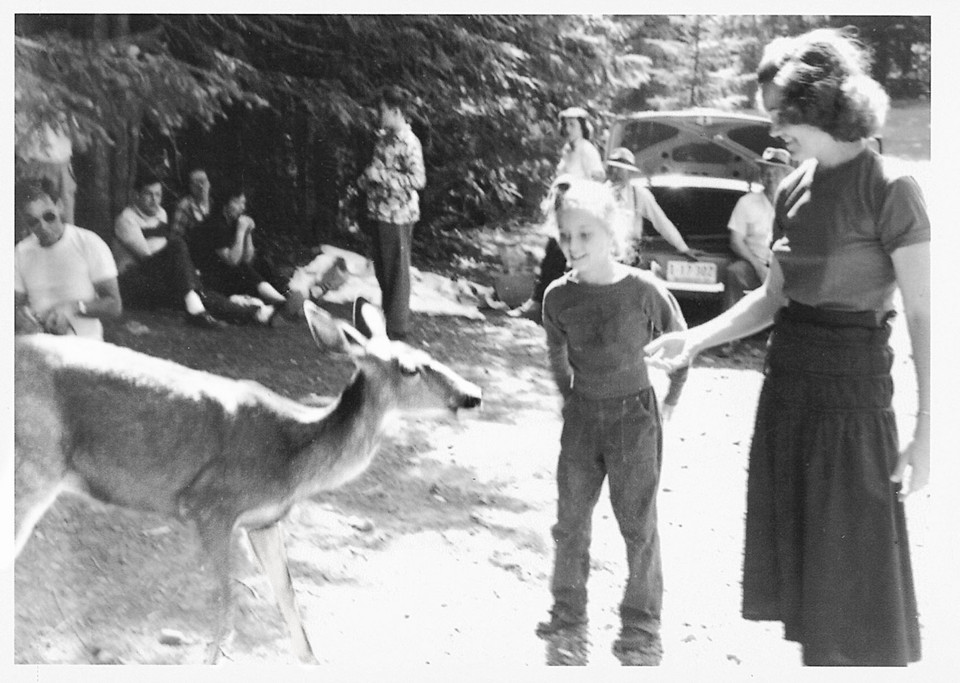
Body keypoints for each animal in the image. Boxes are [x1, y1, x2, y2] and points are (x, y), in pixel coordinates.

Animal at [13, 298, 480, 664]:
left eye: (425, 353)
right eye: (410, 368)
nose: (473, 395)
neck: (293, 464)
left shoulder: (265, 520)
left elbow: (288, 595)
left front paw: (313, 661)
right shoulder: (210, 505)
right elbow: (228, 603)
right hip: (33, 466)